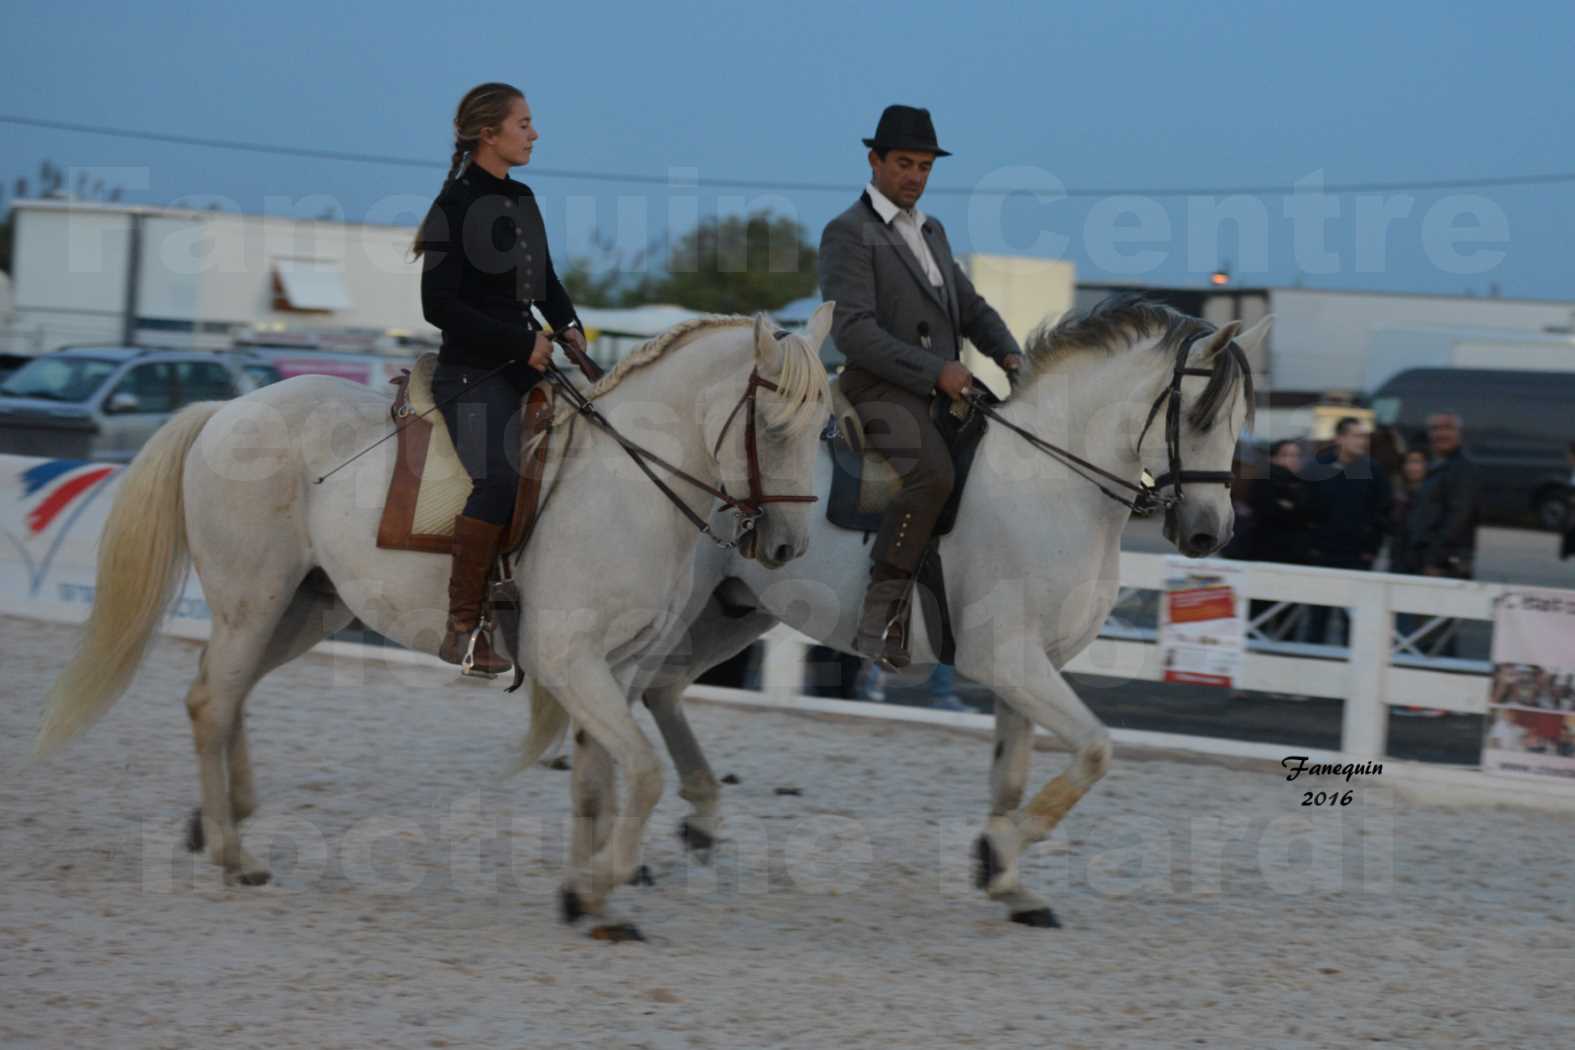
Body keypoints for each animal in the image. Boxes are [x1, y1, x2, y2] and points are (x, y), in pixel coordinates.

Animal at [33, 308, 837, 938]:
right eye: (772, 426)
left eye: (826, 428)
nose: (786, 548)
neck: (627, 487)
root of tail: (225, 411)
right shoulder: (571, 661)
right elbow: (640, 776)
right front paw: (599, 883)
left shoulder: (619, 670)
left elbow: (596, 783)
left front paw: (587, 901)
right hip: (251, 601)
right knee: (211, 701)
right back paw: (236, 853)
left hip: (304, 608)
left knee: (227, 697)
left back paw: (221, 819)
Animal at [529, 295, 1266, 925]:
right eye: (1200, 416)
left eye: (1239, 422)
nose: (1208, 533)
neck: (1054, 485)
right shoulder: (1010, 660)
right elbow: (1094, 750)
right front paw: (1004, 853)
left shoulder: (1027, 668)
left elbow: (1011, 775)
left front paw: (1005, 877)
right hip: (678, 610)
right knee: (633, 696)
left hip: (733, 610)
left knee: (662, 691)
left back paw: (696, 821)